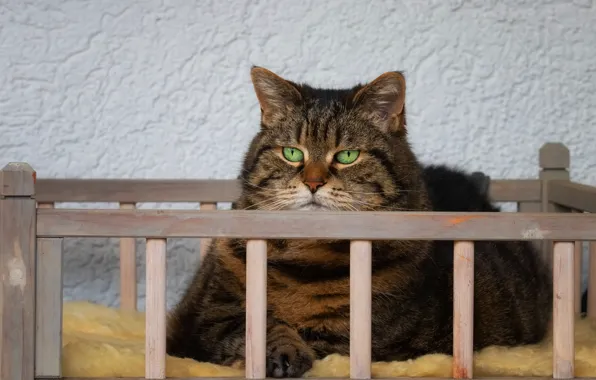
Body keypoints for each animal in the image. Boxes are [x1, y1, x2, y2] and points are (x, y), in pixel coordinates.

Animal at [164, 66, 556, 378]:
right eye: (292, 152)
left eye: (347, 155)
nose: (313, 183)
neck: (306, 254)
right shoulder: (208, 315)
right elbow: (256, 327)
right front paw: (282, 353)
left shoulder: (368, 338)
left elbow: (321, 341)